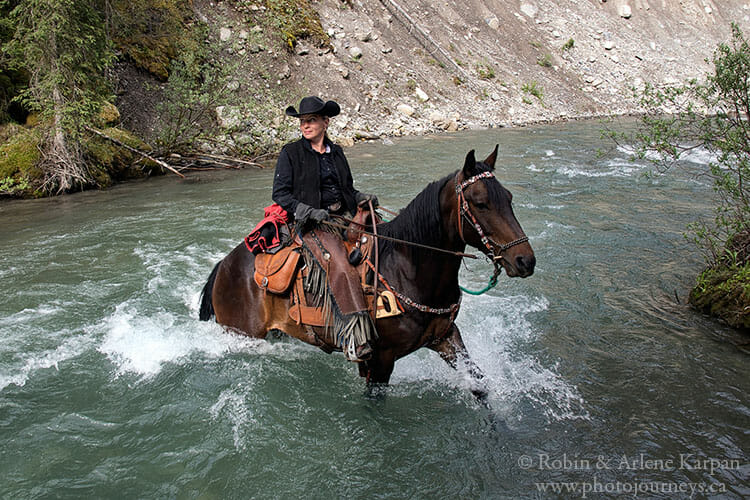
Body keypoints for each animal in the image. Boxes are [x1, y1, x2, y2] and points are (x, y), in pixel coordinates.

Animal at [200, 146, 536, 402]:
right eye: (480, 203)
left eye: (509, 198)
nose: (525, 261)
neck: (408, 270)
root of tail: (224, 264)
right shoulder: (380, 361)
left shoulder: (445, 336)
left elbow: (479, 384)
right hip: (243, 333)